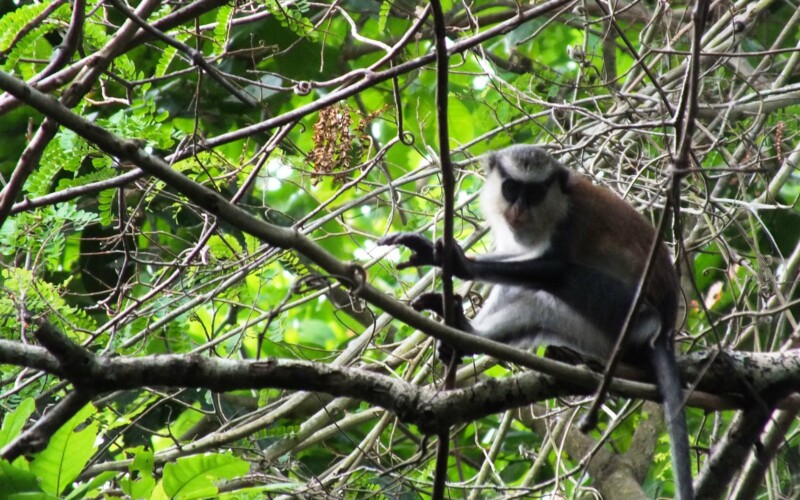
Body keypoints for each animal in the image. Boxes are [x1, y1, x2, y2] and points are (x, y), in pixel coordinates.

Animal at [379, 145, 692, 500]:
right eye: (512, 188)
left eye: (535, 193)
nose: (518, 209)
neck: (556, 205)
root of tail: (664, 331)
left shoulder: (570, 222)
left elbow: (552, 267)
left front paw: (456, 262)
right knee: (535, 303)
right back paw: (465, 330)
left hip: (626, 312)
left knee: (563, 276)